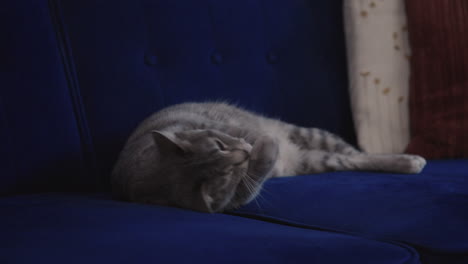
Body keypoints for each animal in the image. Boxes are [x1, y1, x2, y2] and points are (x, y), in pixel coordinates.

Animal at [111, 102, 426, 213]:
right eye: (226, 174)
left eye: (219, 144)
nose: (245, 151)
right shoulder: (238, 196)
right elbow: (254, 177)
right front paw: (264, 150)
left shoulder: (230, 126)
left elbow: (247, 131)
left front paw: (260, 141)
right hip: (317, 158)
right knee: (351, 161)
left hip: (312, 134)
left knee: (358, 155)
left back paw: (407, 159)